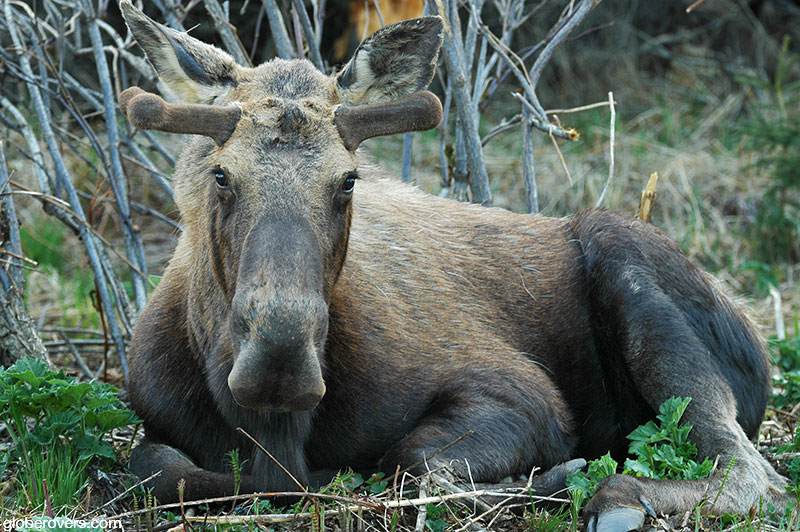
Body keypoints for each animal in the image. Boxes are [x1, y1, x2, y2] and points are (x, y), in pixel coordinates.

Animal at [118, 2, 792, 530]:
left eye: (348, 180)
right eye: (221, 174)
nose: (277, 361)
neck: (274, 430)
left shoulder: (522, 395)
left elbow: (418, 464)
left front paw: (559, 477)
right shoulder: (156, 423)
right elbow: (159, 470)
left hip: (626, 254)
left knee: (753, 472)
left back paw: (619, 495)